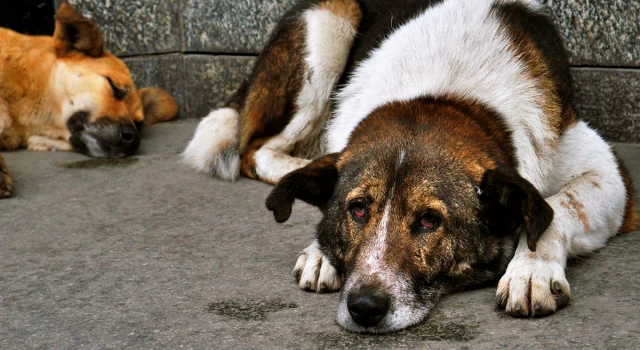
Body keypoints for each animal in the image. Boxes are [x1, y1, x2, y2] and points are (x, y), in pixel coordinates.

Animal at [182, 0, 636, 334]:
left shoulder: (610, 173)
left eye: (429, 220)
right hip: (329, 22)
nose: (364, 306)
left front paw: (531, 270)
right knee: (255, 149)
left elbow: (557, 206)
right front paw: (319, 250)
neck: (442, 94)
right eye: (357, 209)